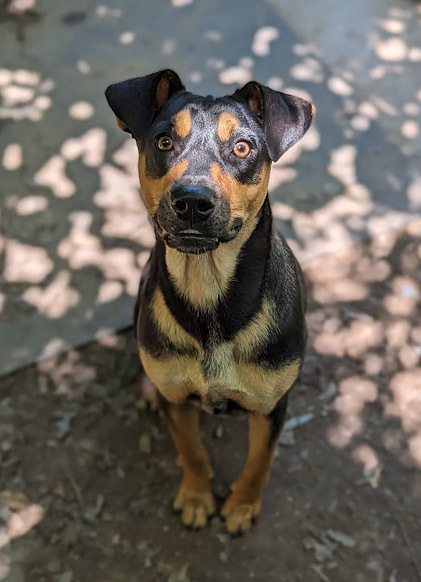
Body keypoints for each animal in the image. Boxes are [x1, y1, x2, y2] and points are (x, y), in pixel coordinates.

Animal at [105, 70, 314, 536]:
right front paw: (198, 498)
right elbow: (192, 451)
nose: (192, 201)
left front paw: (241, 506)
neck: (211, 293)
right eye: (164, 141)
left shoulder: (272, 406)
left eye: (243, 147)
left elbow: (260, 460)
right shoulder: (179, 403)